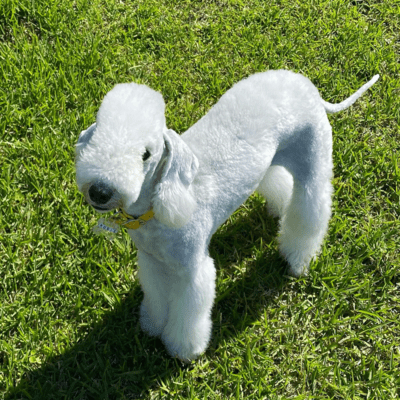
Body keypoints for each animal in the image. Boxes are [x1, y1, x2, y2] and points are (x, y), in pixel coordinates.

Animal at [75, 70, 378, 360]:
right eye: (97, 138)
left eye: (146, 155)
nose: (100, 191)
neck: (158, 205)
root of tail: (308, 87)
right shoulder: (151, 260)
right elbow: (156, 297)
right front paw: (152, 326)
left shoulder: (191, 270)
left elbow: (189, 312)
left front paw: (183, 349)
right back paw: (279, 209)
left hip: (312, 157)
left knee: (311, 209)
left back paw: (297, 260)